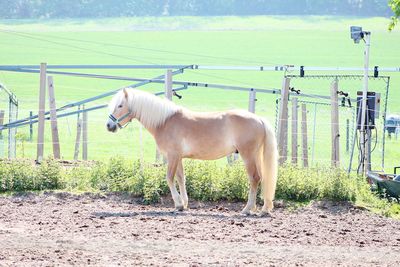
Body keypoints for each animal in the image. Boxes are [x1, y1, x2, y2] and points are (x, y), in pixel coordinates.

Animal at [106, 89, 278, 217]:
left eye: (120, 105)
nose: (108, 125)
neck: (165, 122)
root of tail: (259, 119)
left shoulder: (172, 156)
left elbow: (169, 178)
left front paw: (178, 204)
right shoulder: (178, 158)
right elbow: (181, 178)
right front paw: (184, 204)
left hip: (247, 155)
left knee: (254, 178)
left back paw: (247, 209)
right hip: (256, 156)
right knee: (263, 178)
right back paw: (263, 209)